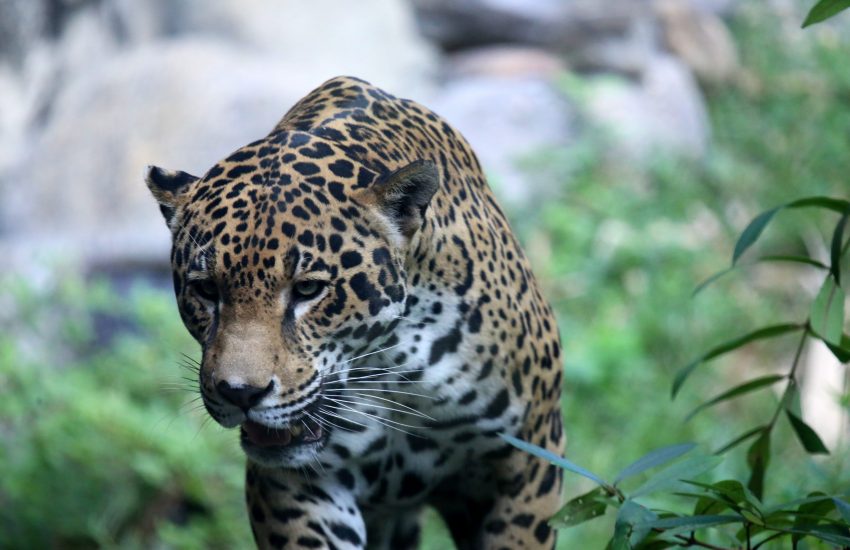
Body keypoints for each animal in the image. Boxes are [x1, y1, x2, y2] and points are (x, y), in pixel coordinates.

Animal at [145, 76, 564, 550]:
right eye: (206, 289)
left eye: (308, 289)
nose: (240, 393)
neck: (393, 362)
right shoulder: (296, 484)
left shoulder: (530, 457)